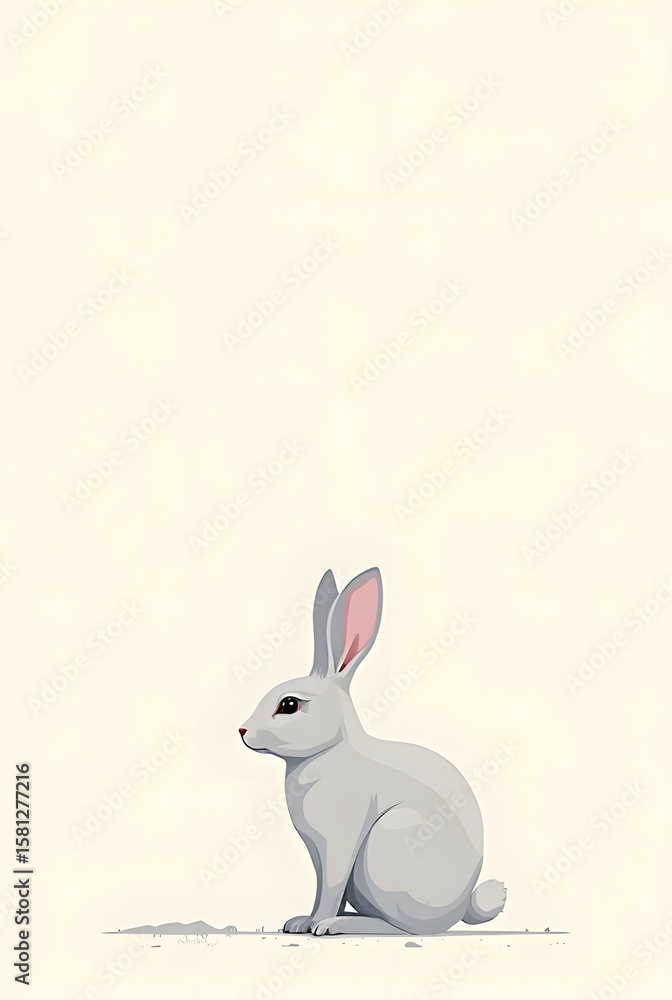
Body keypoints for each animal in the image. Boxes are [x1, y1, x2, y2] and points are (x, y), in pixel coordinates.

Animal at [239, 567, 506, 936]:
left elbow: (331, 886)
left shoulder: (339, 842)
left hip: (386, 848)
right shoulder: (317, 852)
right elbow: (324, 887)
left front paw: (316, 924)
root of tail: (459, 910)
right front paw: (301, 923)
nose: (242, 731)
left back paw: (338, 925)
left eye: (289, 705)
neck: (328, 752)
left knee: (402, 928)